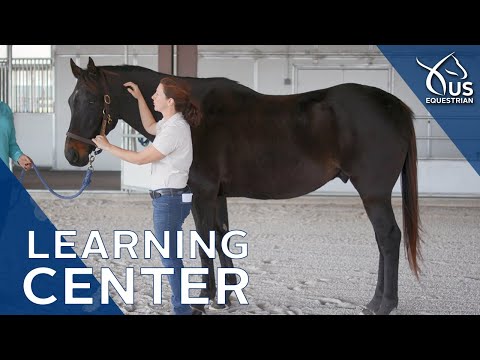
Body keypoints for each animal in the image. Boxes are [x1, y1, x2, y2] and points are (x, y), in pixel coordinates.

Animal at [64, 57, 420, 314]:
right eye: (70, 101)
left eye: (92, 101)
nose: (72, 154)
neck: (192, 115)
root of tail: (394, 106)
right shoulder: (218, 195)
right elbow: (222, 236)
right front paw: (228, 295)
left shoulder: (203, 193)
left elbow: (206, 241)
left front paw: (207, 298)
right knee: (383, 240)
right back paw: (375, 301)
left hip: (373, 193)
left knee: (388, 238)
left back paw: (383, 305)